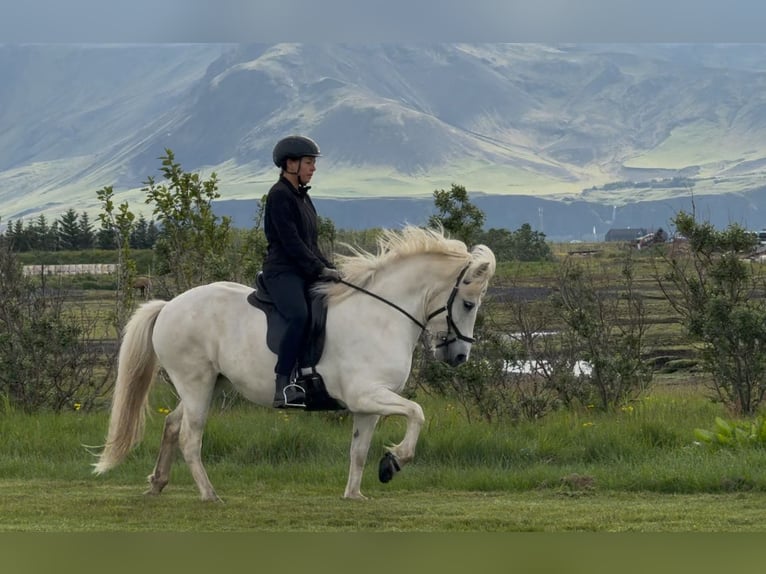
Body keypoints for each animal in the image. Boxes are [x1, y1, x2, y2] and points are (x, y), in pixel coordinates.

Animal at [92, 226, 496, 501]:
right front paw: (394, 461)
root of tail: (168, 307)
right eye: (468, 304)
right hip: (196, 383)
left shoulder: (367, 406)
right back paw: (209, 495)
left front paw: (356, 493)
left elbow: (359, 450)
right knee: (190, 437)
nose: (459, 357)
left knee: (173, 425)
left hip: (208, 385)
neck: (381, 316)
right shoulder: (366, 394)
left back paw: (157, 483)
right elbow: (417, 413)